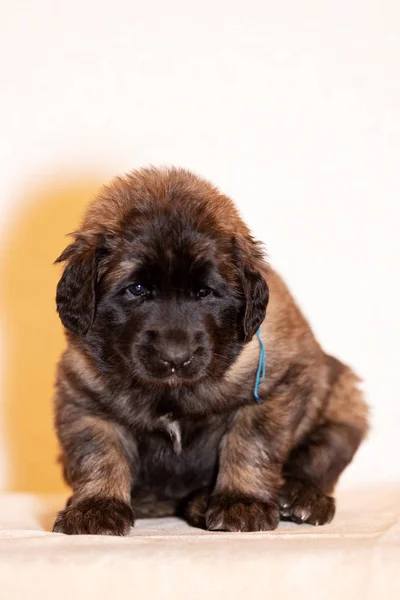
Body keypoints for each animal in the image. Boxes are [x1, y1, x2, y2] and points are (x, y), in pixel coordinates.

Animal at [52, 168, 368, 536]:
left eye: (205, 292)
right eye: (137, 289)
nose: (175, 358)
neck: (171, 393)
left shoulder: (271, 390)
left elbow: (249, 447)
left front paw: (241, 503)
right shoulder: (85, 398)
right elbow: (98, 455)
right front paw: (96, 507)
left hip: (344, 399)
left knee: (320, 454)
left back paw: (301, 498)